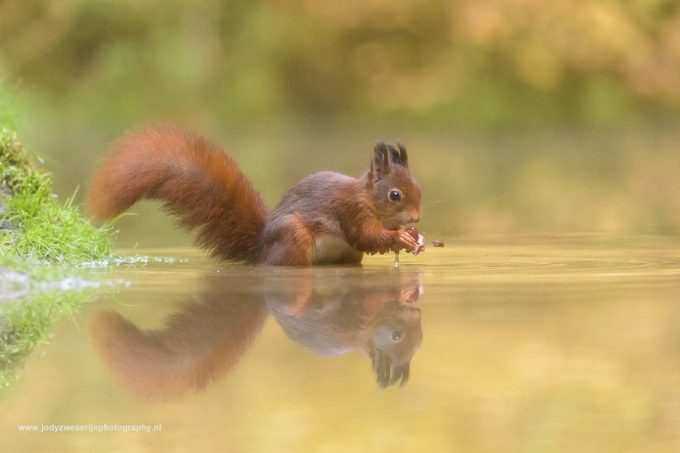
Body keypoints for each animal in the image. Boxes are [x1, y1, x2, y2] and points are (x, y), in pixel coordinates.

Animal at [86, 125, 420, 264]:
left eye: (418, 188)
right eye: (394, 195)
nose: (416, 218)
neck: (368, 198)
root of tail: (260, 249)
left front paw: (410, 237)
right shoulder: (350, 210)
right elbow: (365, 235)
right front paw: (399, 237)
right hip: (293, 237)